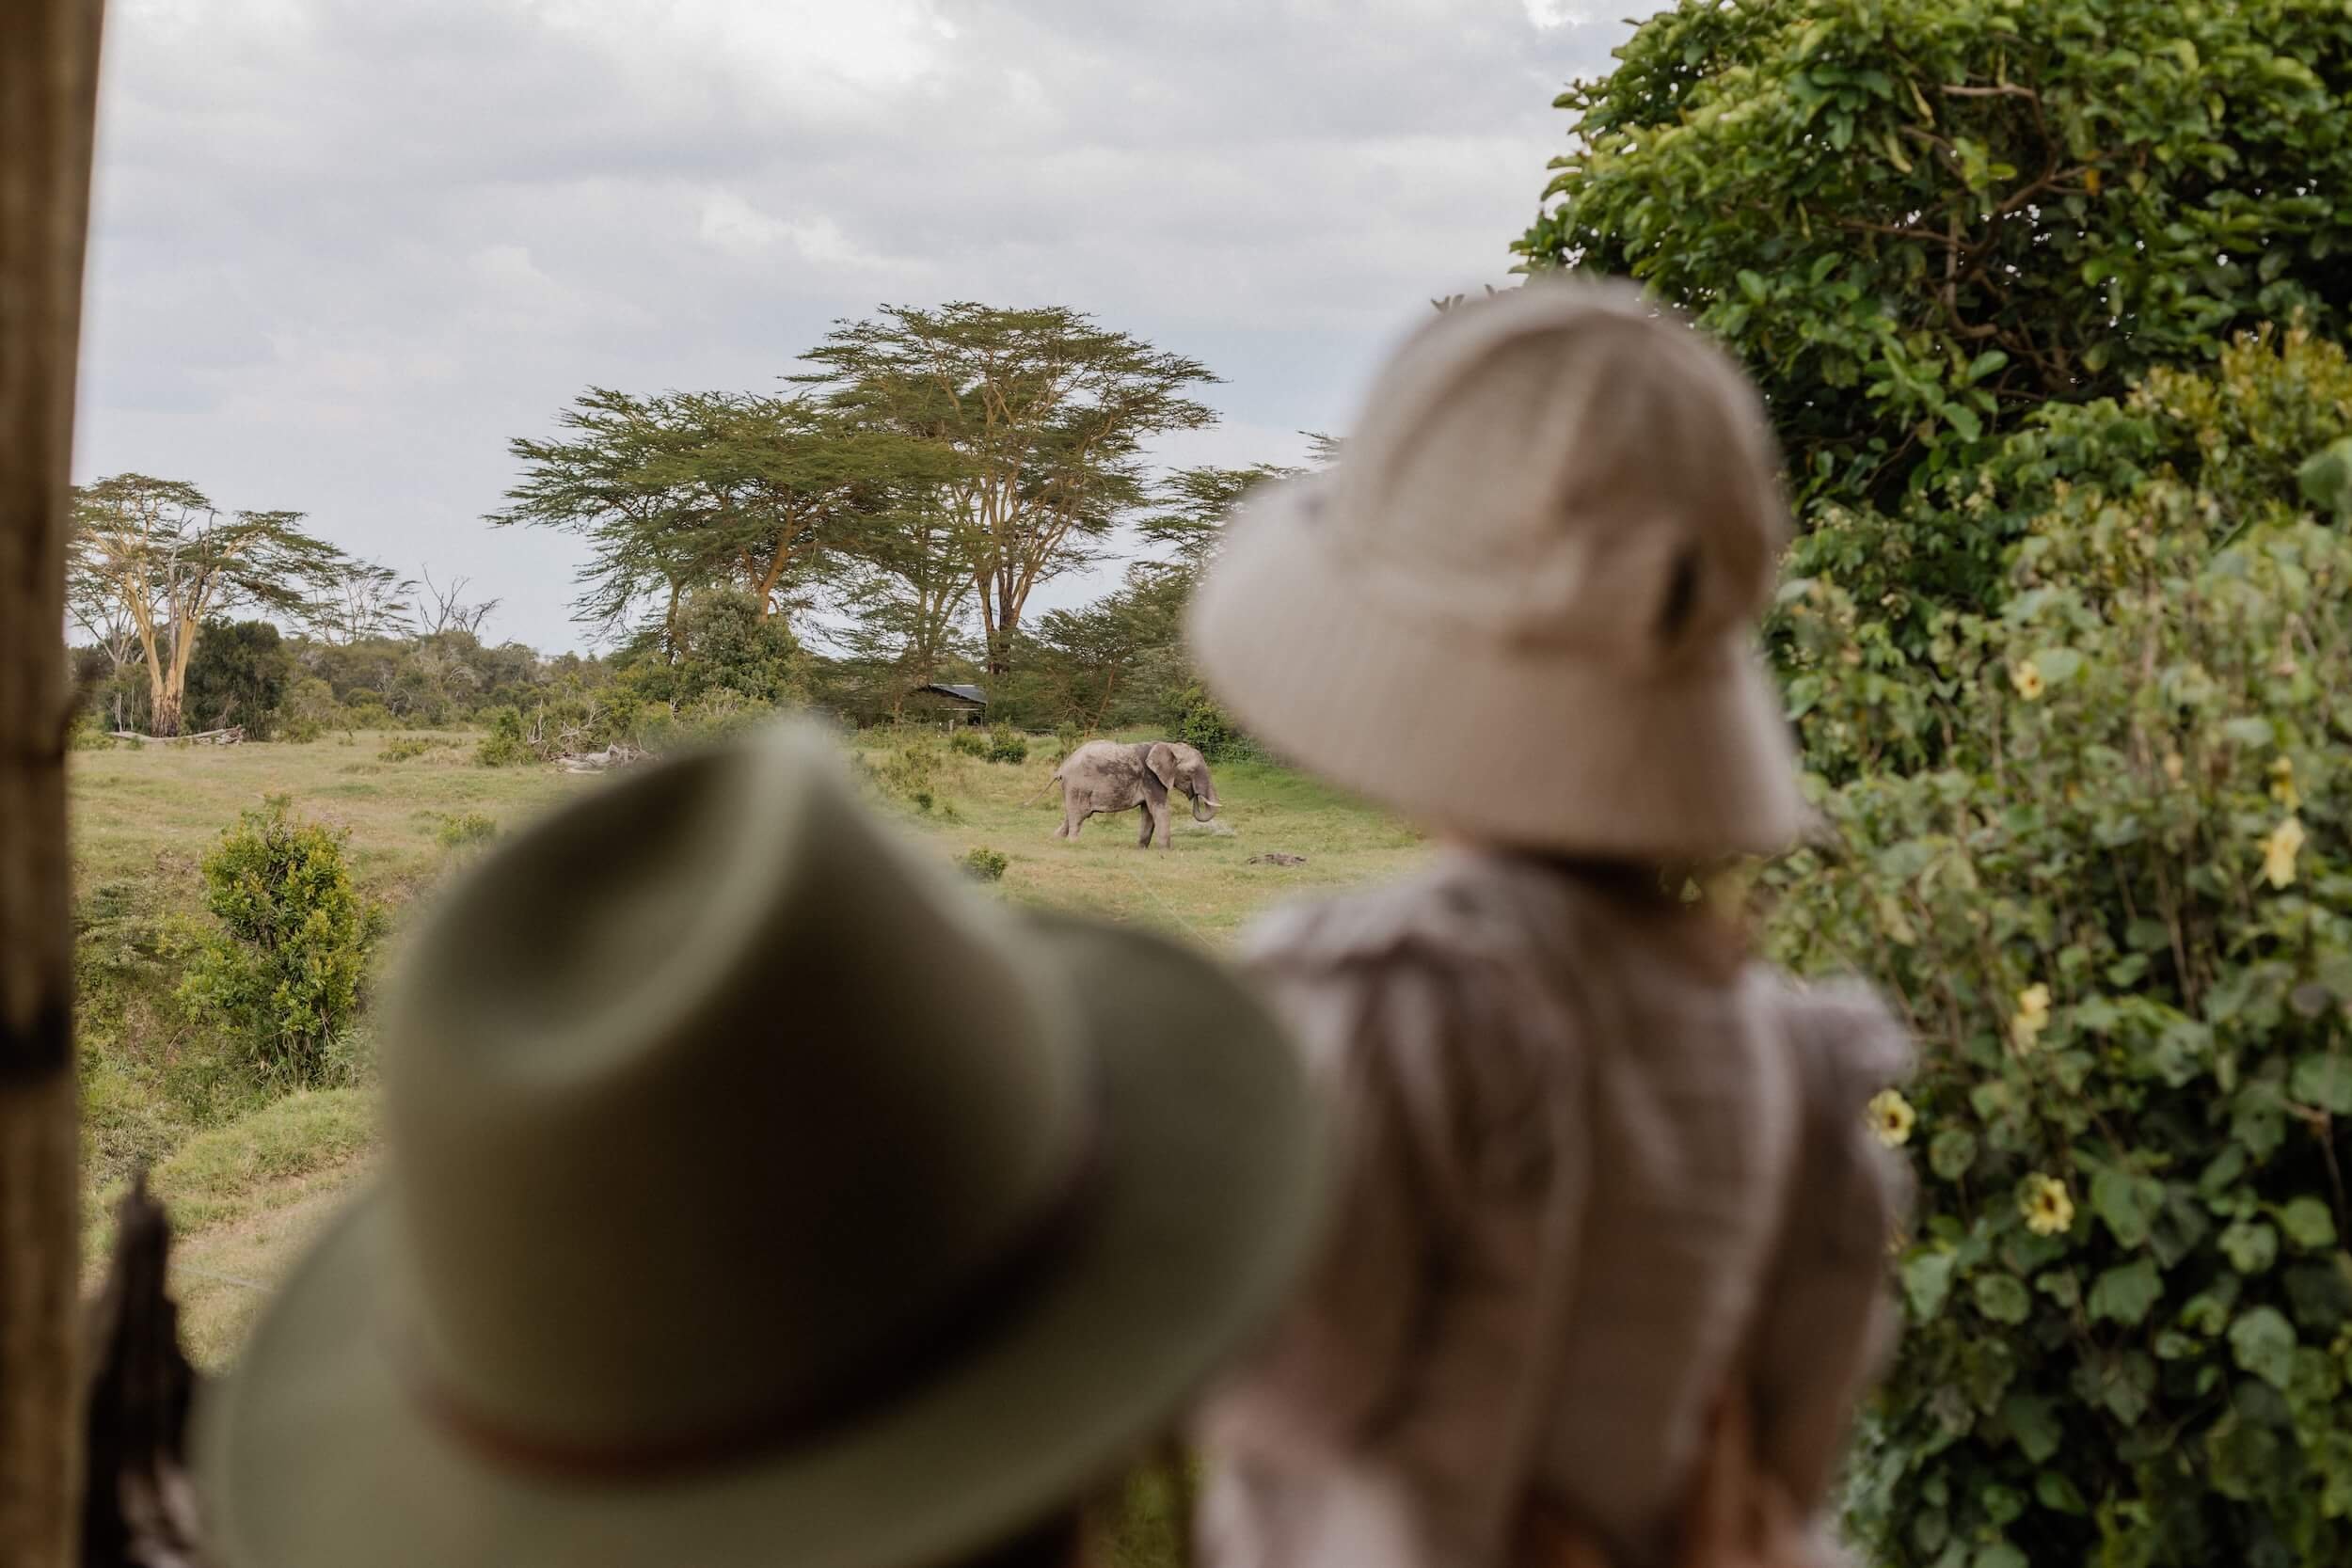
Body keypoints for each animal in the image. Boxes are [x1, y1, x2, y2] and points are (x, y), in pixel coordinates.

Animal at [1046, 740, 1221, 849]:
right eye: (1191, 771)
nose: (1195, 795)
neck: (1169, 746)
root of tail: (1062, 768)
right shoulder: (1151, 778)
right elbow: (1161, 810)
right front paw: (1166, 851)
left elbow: (1148, 813)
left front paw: (1142, 849)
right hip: (1078, 786)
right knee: (1079, 815)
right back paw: (1073, 843)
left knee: (1075, 814)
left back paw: (1055, 840)